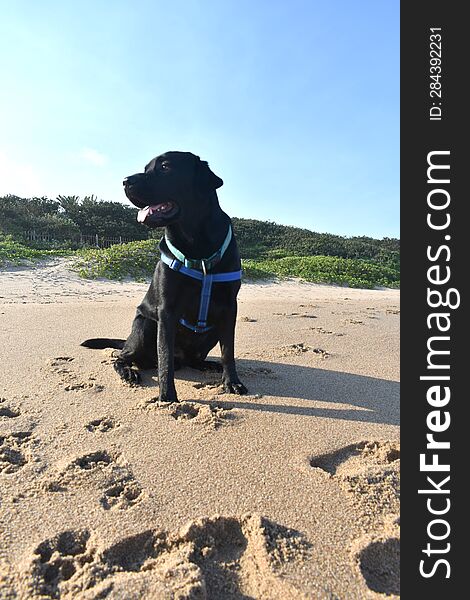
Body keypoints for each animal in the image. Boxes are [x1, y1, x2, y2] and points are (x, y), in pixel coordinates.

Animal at [81, 150, 248, 404]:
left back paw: (210, 366)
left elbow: (228, 351)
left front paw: (232, 382)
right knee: (121, 356)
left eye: (165, 167)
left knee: (193, 359)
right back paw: (128, 372)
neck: (195, 242)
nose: (125, 181)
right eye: (146, 168)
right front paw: (167, 396)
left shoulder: (230, 308)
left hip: (211, 330)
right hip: (145, 327)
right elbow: (165, 358)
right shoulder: (167, 311)